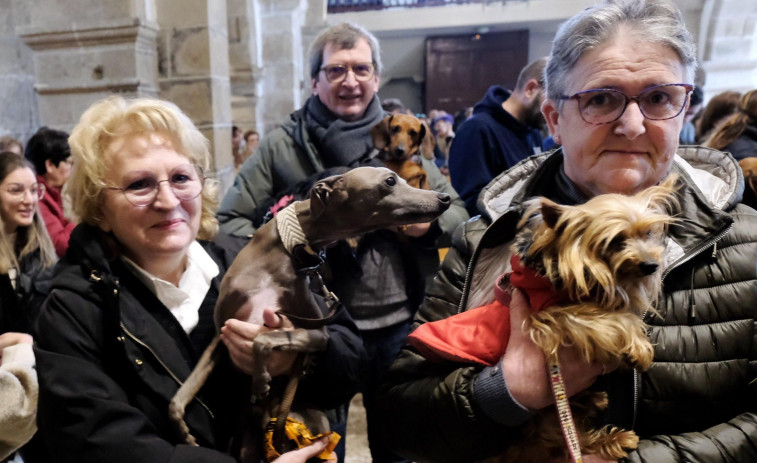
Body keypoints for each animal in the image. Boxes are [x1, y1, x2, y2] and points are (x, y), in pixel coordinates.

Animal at [168, 169, 448, 462]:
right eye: (390, 180)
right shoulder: (221, 333)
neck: (284, 251)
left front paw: (260, 381)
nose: (445, 198)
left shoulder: (317, 334)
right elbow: (178, 397)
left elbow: (263, 340)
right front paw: (185, 433)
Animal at [408, 176, 680, 462]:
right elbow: (611, 318)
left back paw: (606, 422)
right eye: (615, 240)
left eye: (647, 233)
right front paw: (637, 348)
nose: (651, 265)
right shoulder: (547, 316)